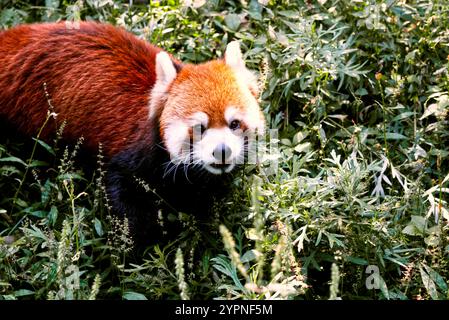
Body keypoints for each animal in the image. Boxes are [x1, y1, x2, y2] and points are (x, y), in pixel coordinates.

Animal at [0, 22, 264, 246]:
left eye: (234, 123)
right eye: (200, 127)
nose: (222, 151)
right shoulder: (131, 155)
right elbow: (124, 197)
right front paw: (135, 247)